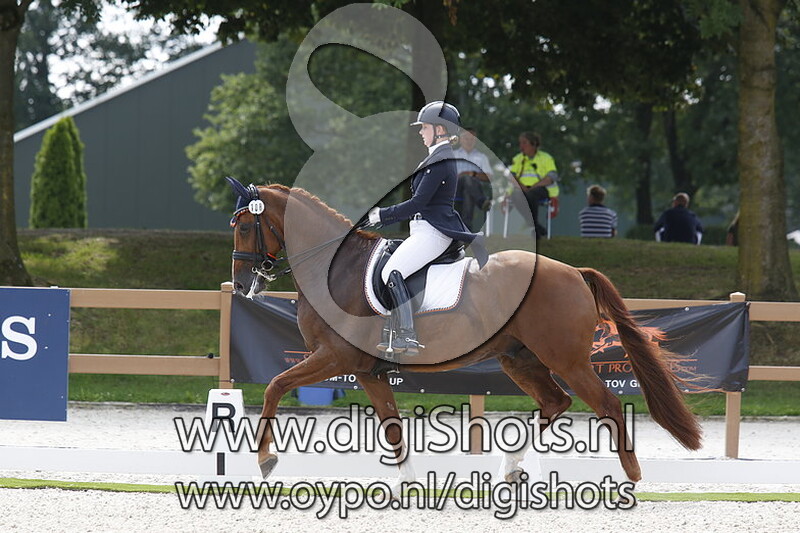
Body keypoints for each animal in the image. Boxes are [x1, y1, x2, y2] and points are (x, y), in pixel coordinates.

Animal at [228, 182, 702, 485]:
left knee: (607, 405)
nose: (242, 283)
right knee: (555, 402)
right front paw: (408, 485)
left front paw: (266, 460)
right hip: (519, 359)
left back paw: (631, 479)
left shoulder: (337, 357)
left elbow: (274, 386)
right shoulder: (367, 371)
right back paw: (509, 469)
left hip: (565, 359)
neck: (334, 269)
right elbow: (392, 426)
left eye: (246, 226)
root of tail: (572, 271)